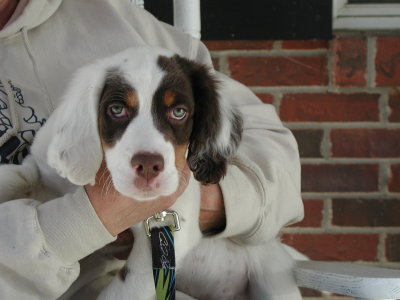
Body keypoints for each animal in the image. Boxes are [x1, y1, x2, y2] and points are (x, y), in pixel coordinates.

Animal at [0, 47, 300, 300]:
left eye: (179, 112)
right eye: (117, 109)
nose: (147, 166)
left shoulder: (167, 238)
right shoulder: (42, 170)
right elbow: (20, 175)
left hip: (273, 280)